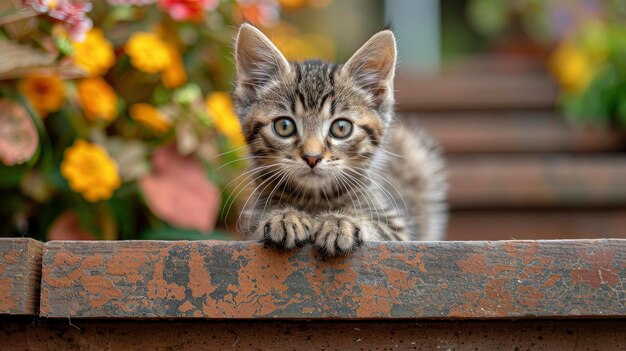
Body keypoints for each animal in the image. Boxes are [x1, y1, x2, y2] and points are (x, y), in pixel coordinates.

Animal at [233, 23, 444, 258]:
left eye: (341, 128)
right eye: (284, 126)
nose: (312, 157)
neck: (314, 199)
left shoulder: (397, 227)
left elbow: (375, 224)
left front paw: (340, 222)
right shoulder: (249, 227)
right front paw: (285, 216)